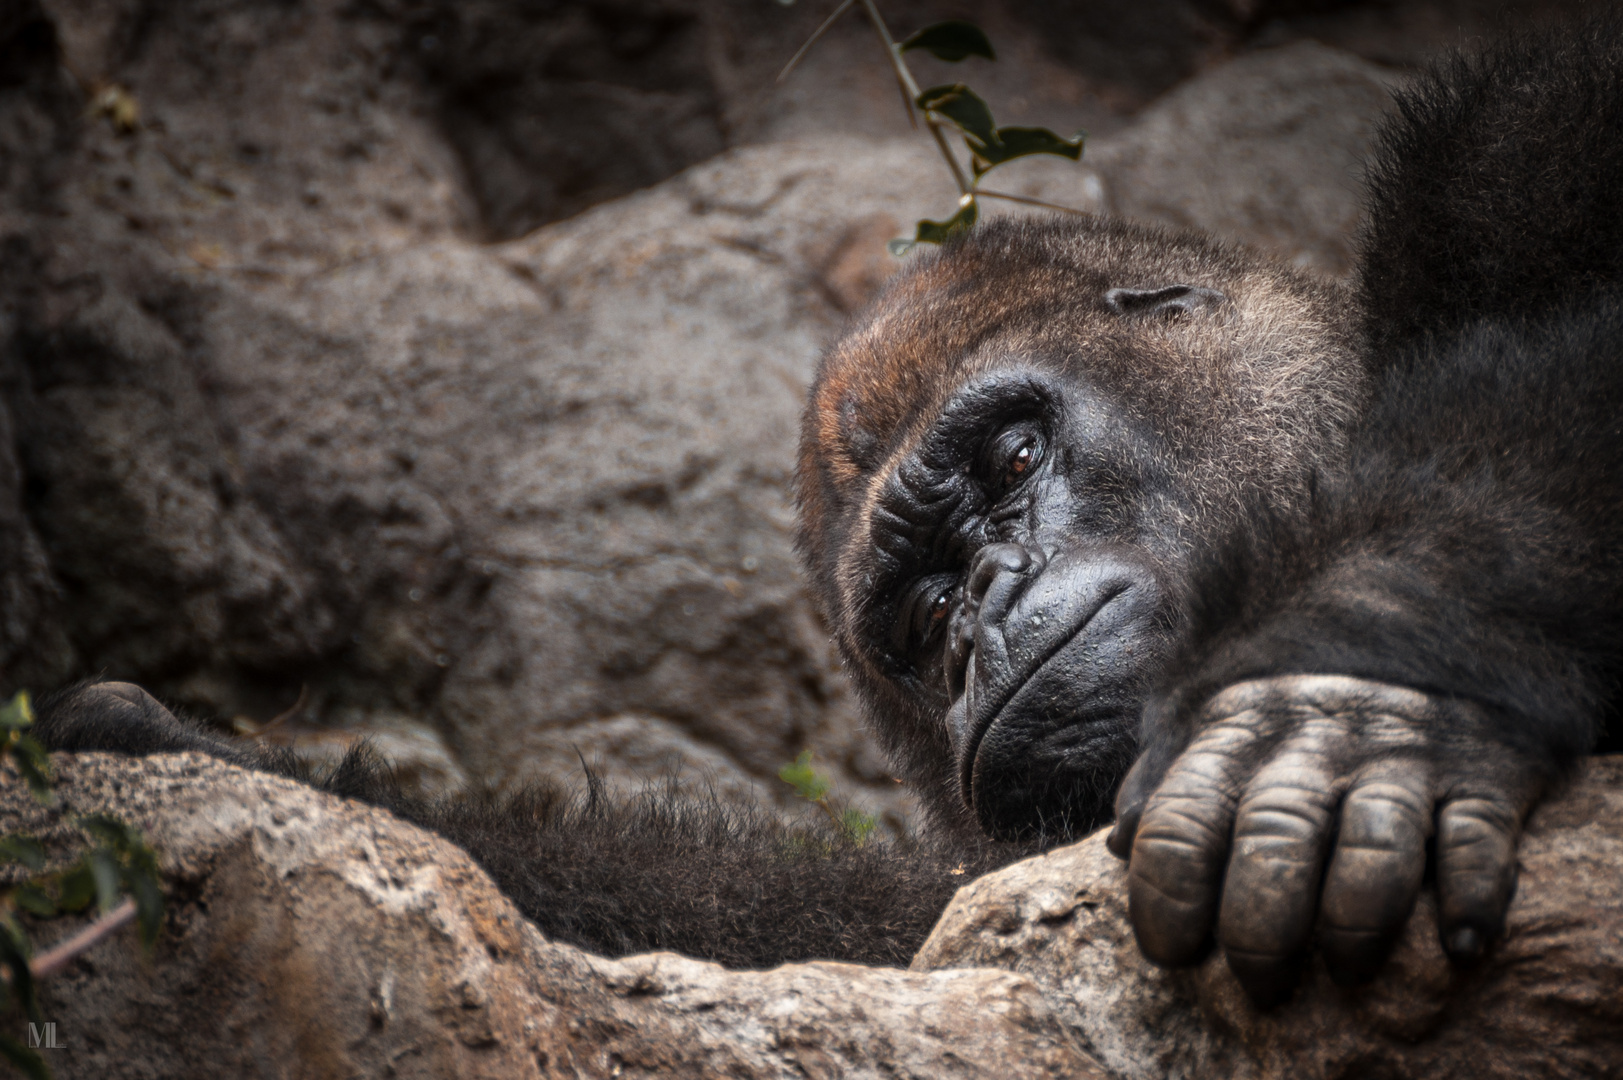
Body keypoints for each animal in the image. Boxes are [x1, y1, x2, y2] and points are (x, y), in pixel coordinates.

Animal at [25, 16, 1623, 1000]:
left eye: (1012, 462)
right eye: (916, 622)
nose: (981, 612)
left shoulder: (1492, 157)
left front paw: (1358, 682)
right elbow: (867, 941)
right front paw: (188, 752)